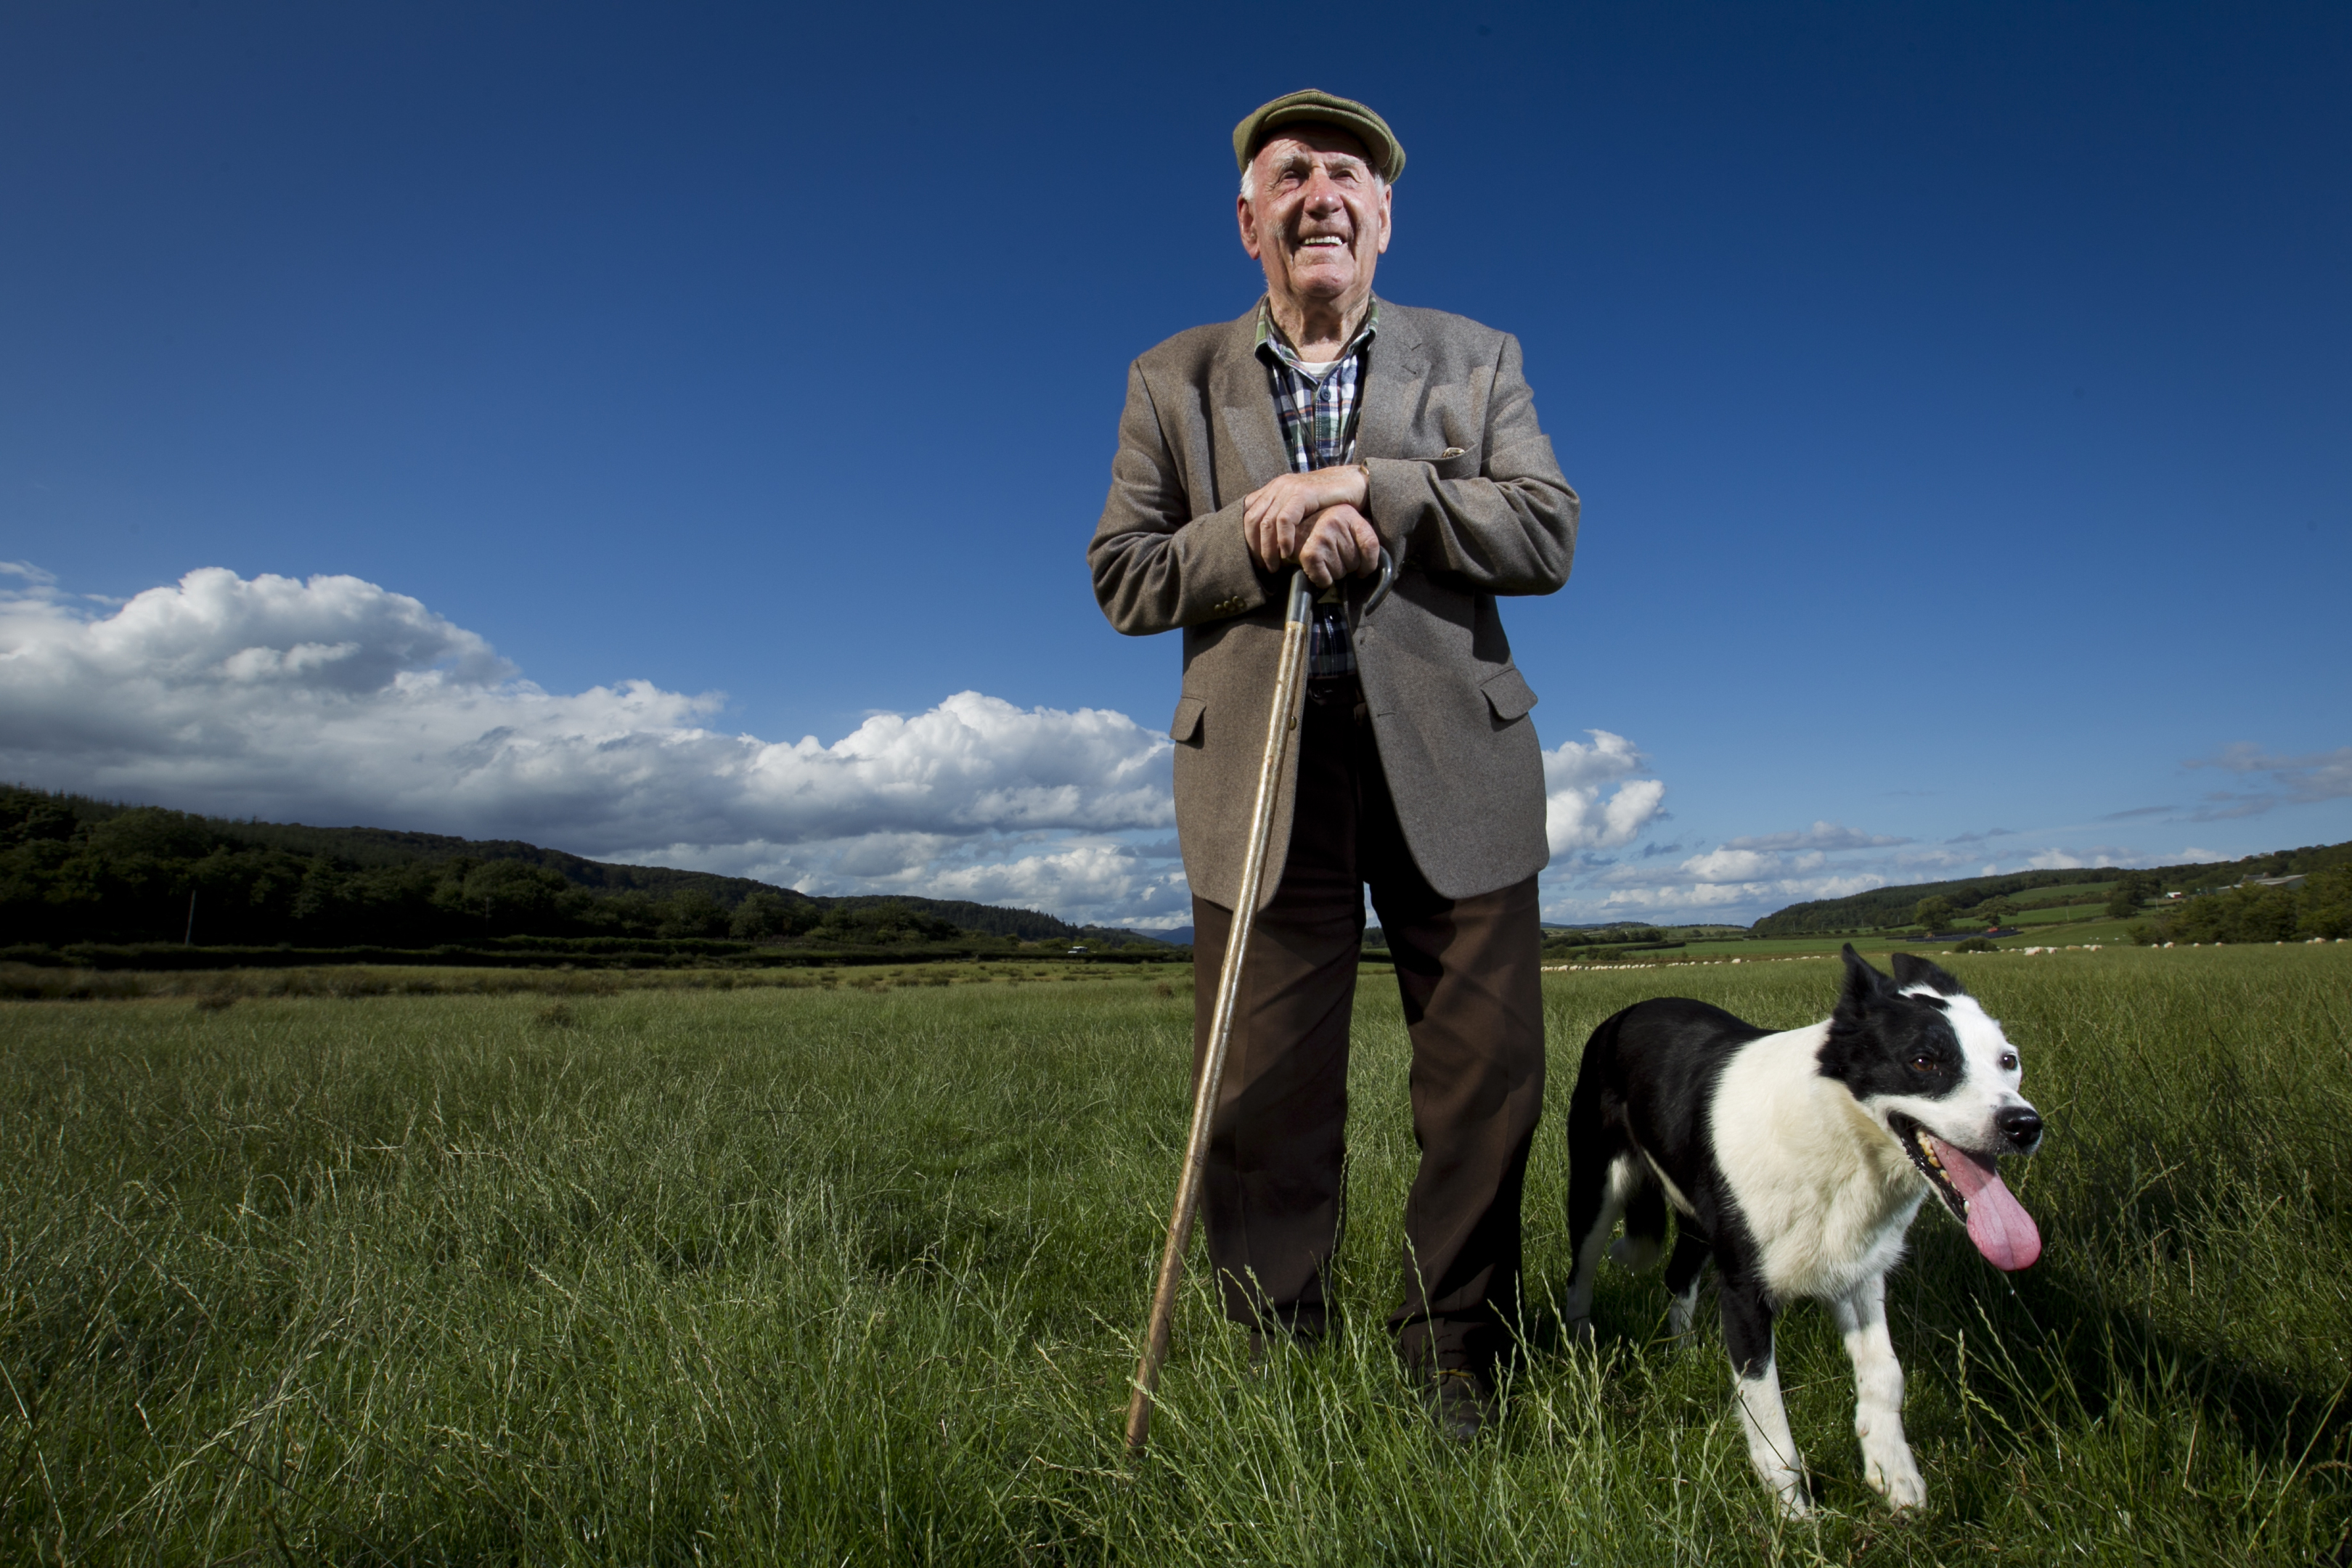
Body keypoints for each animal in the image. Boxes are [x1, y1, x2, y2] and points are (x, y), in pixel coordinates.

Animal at [1571, 944, 2051, 1523]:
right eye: (1924, 1061)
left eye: (2009, 1061)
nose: (2024, 1126)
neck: (1836, 1129)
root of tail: (1629, 1012)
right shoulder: (1745, 1292)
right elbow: (1766, 1405)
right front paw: (1793, 1513)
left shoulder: (1858, 1271)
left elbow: (1885, 1372)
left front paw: (1894, 1475)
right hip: (1596, 1188)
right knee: (1581, 1277)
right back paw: (1579, 1351)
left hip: (1699, 1220)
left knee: (1679, 1275)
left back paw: (1683, 1355)